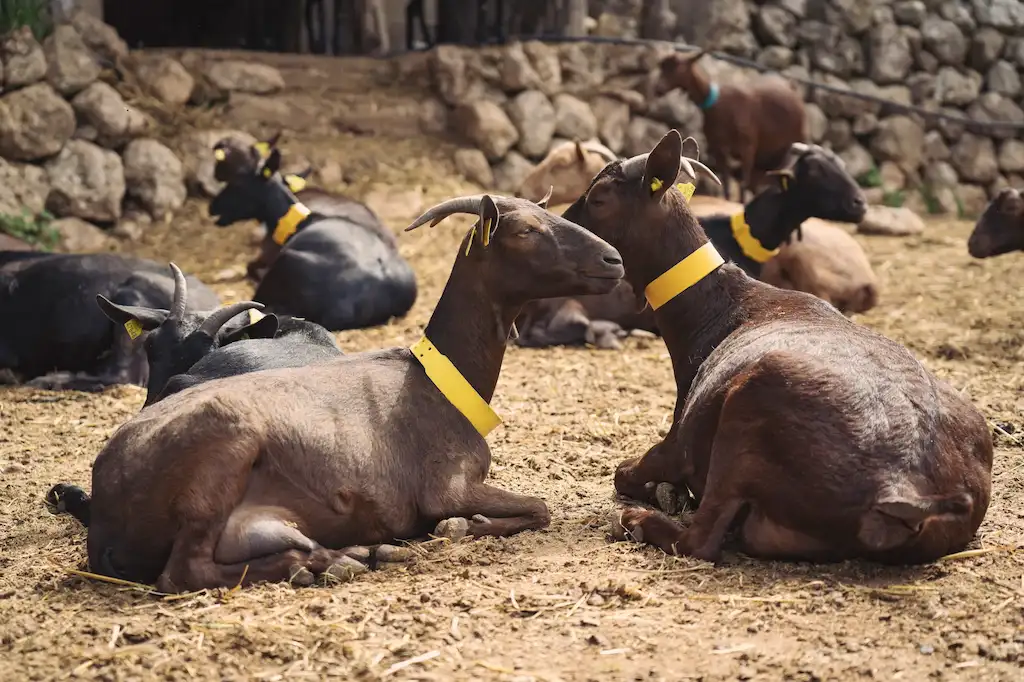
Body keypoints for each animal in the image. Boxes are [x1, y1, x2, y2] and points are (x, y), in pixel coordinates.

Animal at [49, 193, 623, 592]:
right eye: (526, 229)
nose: (613, 260)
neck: (440, 381)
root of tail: (106, 511)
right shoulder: (446, 486)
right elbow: (537, 506)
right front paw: (461, 526)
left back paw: (352, 556)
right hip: (223, 454)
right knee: (183, 572)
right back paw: (335, 564)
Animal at [562, 129, 991, 564]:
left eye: (598, 198)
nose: (563, 226)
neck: (720, 305)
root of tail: (902, 487)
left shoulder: (677, 440)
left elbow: (628, 471)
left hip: (746, 415)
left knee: (700, 539)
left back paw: (635, 521)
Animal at [654, 50, 806, 202]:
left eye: (677, 66)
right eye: (662, 66)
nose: (658, 89)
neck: (717, 105)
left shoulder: (748, 147)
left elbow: (743, 184)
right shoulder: (718, 148)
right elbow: (726, 183)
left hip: (795, 140)